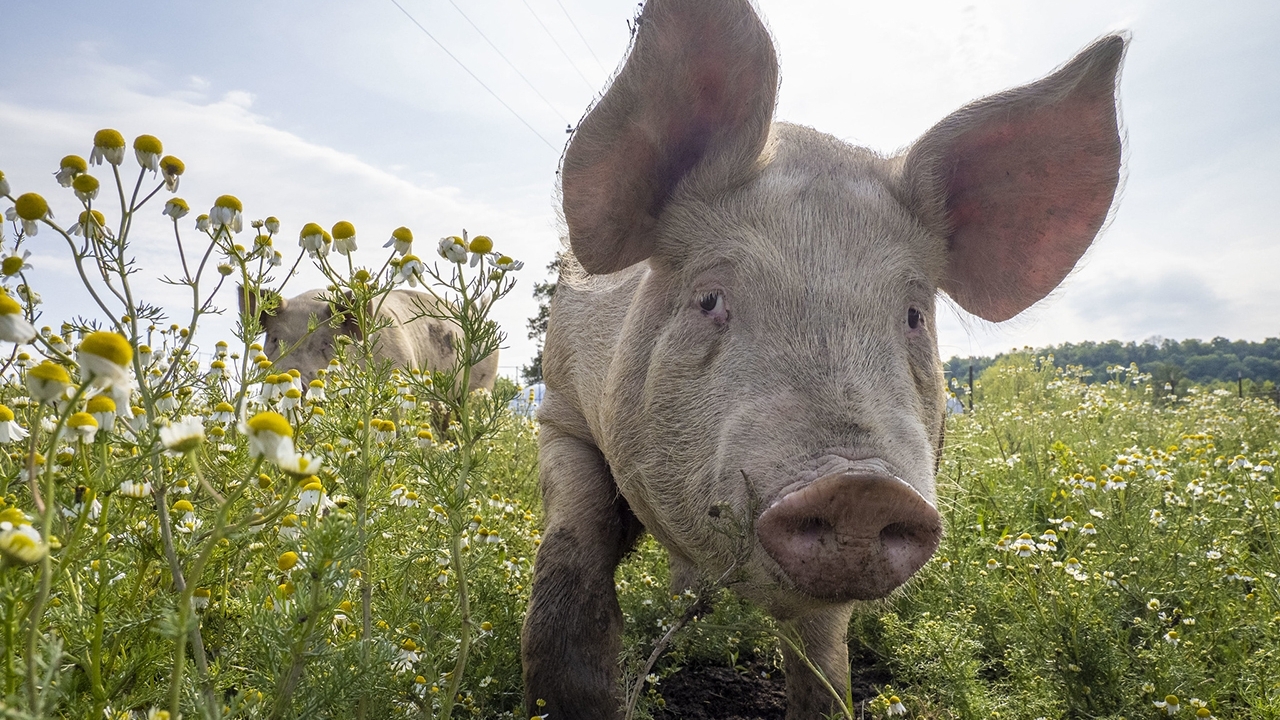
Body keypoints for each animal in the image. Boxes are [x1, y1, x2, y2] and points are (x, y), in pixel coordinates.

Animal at [519, 1, 1121, 712]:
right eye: (709, 298)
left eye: (914, 316)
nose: (860, 488)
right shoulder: (562, 409)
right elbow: (574, 557)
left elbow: (824, 662)